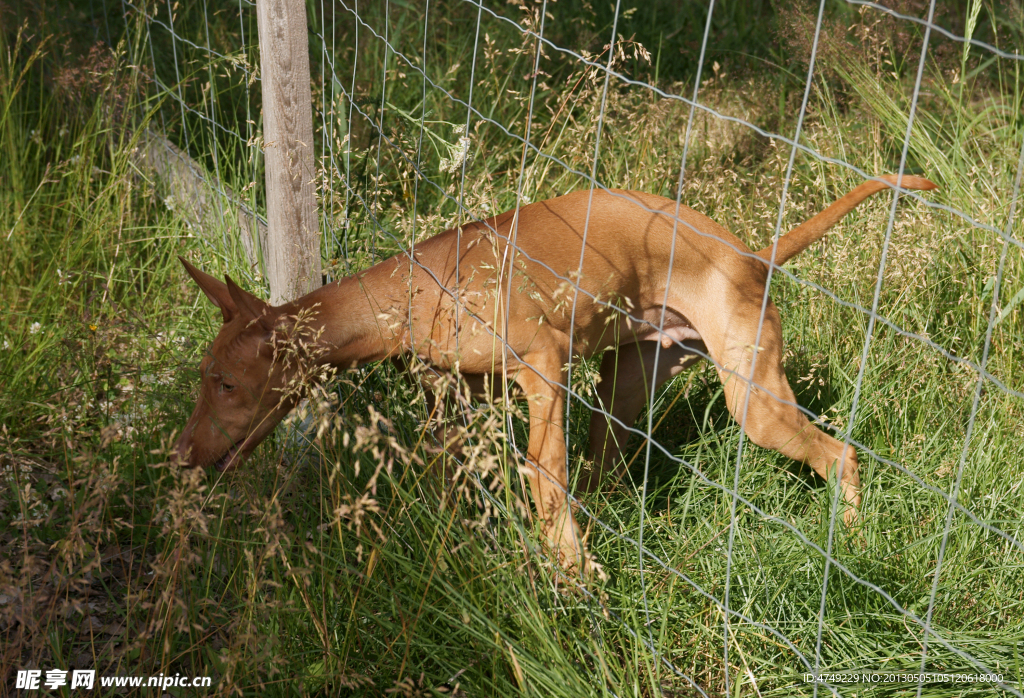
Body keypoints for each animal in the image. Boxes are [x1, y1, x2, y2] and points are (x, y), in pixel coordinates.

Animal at [174, 175, 937, 569]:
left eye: (227, 385)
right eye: (205, 376)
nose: (178, 454)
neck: (419, 285)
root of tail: (751, 255)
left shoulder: (543, 372)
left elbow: (545, 482)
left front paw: (569, 572)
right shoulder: (452, 402)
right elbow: (459, 482)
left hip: (754, 403)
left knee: (839, 454)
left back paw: (854, 539)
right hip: (627, 383)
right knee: (606, 471)